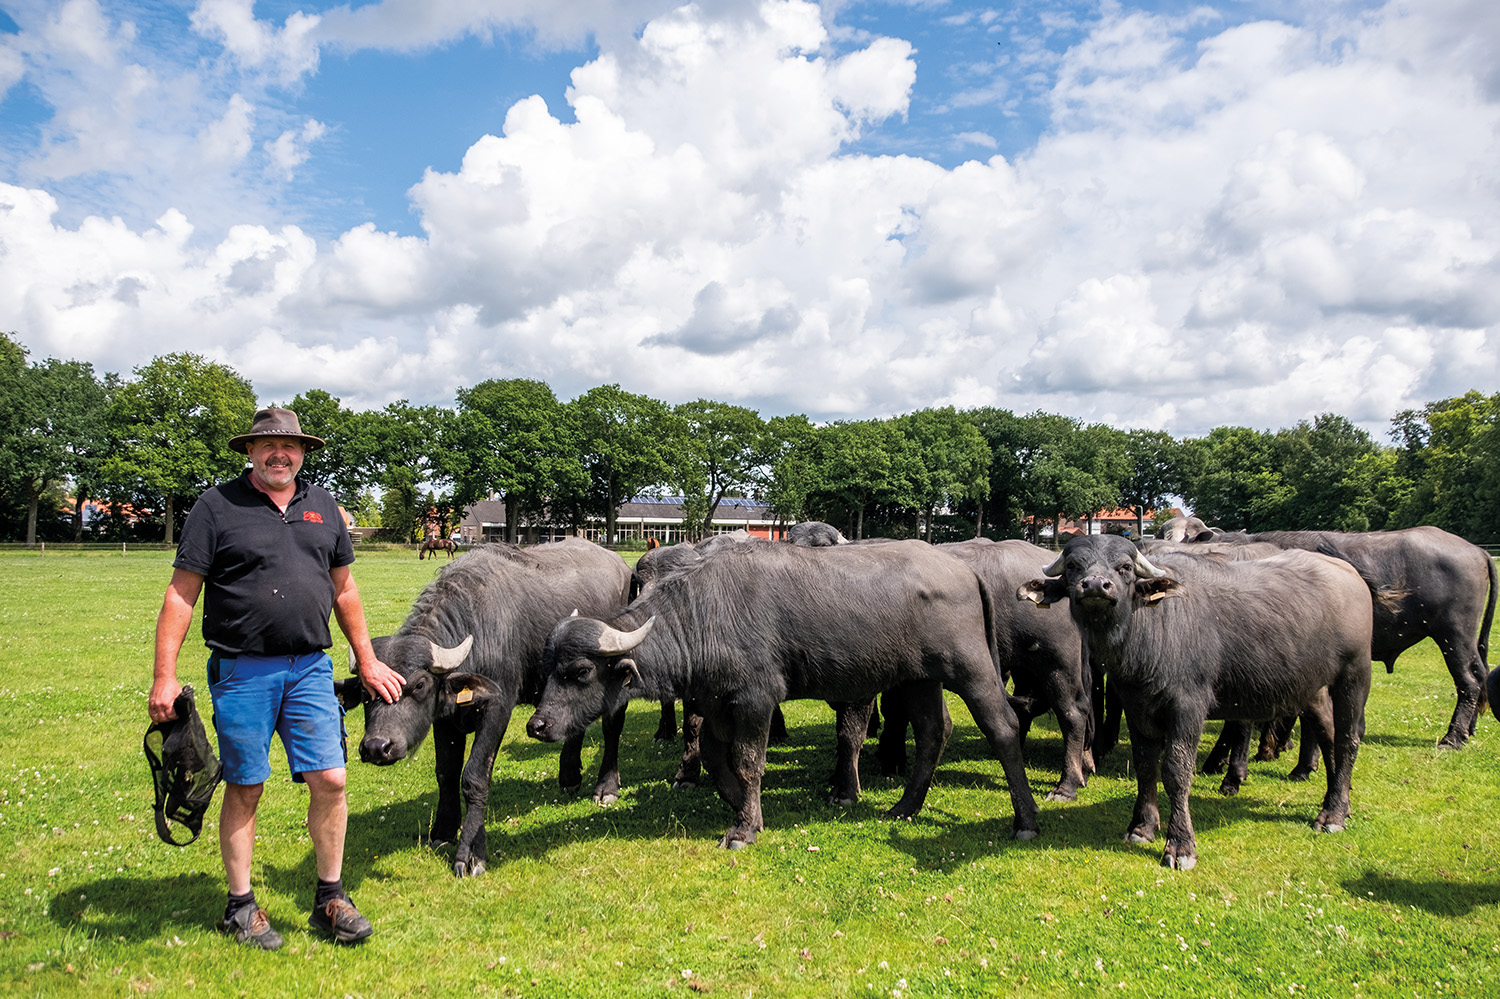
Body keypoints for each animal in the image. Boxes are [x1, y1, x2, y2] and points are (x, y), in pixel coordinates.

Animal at [334, 537, 627, 870]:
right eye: (367, 691)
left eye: (419, 685)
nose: (377, 747)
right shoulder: (444, 718)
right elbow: (446, 773)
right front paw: (443, 831)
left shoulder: (498, 708)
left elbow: (474, 776)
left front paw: (471, 853)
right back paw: (569, 776)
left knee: (612, 728)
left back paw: (606, 787)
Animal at [531, 540, 1044, 846]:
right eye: (549, 667)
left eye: (580, 671)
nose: (538, 724)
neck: (702, 614)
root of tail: (962, 569)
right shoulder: (717, 701)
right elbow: (715, 758)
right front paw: (739, 804)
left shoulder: (756, 699)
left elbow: (748, 761)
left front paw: (744, 827)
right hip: (919, 678)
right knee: (935, 732)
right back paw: (905, 807)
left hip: (971, 667)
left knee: (1002, 726)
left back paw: (1025, 820)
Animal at [1020, 534, 1374, 870]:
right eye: (1073, 566)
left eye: (1125, 567)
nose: (1095, 585)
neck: (1151, 629)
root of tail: (1351, 576)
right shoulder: (1137, 707)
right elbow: (1145, 765)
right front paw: (1142, 827)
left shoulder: (1188, 707)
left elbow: (1176, 771)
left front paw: (1180, 845)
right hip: (1311, 686)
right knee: (1328, 733)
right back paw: (1338, 803)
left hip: (1355, 673)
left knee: (1348, 738)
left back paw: (1333, 816)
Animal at [1206, 525, 1500, 744]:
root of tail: (1477, 551)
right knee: (1481, 673)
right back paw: (1469, 729)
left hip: (1454, 635)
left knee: (1469, 681)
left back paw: (1453, 737)